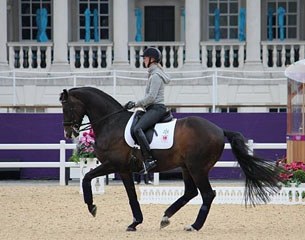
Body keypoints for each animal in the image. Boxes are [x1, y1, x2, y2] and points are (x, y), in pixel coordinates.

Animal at [60, 87, 282, 232]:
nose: (68, 132)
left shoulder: (113, 165)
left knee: (207, 194)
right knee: (191, 192)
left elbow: (87, 178)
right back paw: (166, 217)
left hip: (197, 168)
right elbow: (131, 196)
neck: (111, 122)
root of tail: (219, 130)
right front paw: (135, 222)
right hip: (186, 167)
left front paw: (92, 207)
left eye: (67, 107)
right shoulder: (123, 169)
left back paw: (194, 226)